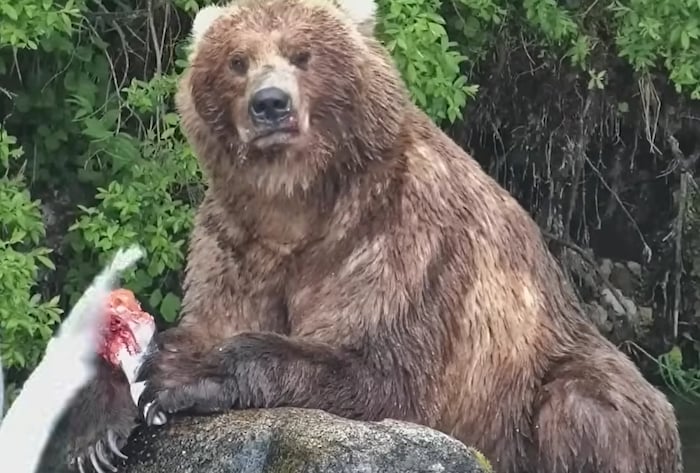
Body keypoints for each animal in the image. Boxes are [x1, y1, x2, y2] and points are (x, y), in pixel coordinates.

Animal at [62, 1, 683, 472]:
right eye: (238, 60)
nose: (271, 104)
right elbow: (212, 315)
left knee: (586, 408)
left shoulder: (399, 235)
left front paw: (185, 374)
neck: (297, 204)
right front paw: (99, 429)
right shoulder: (238, 238)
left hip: (560, 377)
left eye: (302, 54)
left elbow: (382, 371)